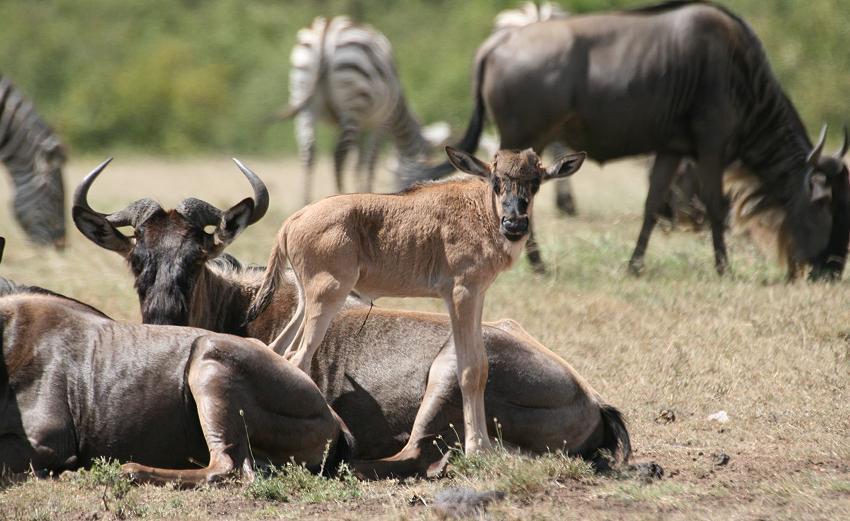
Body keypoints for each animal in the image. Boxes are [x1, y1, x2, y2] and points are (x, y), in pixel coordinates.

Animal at [247, 145, 584, 450]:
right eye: (496, 179)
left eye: (535, 181)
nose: (514, 224)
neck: (480, 209)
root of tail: (292, 221)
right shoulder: (460, 295)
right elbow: (470, 369)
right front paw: (476, 447)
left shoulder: (477, 296)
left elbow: (482, 366)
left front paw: (485, 446)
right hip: (328, 298)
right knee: (297, 358)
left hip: (308, 301)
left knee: (278, 350)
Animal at [274, 15, 434, 203]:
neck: (399, 111)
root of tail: (327, 30)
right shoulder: (382, 121)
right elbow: (370, 160)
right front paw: (368, 191)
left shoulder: (359, 126)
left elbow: (359, 162)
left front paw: (361, 191)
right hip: (353, 101)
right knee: (339, 154)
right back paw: (339, 193)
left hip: (305, 97)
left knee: (309, 151)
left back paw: (305, 201)